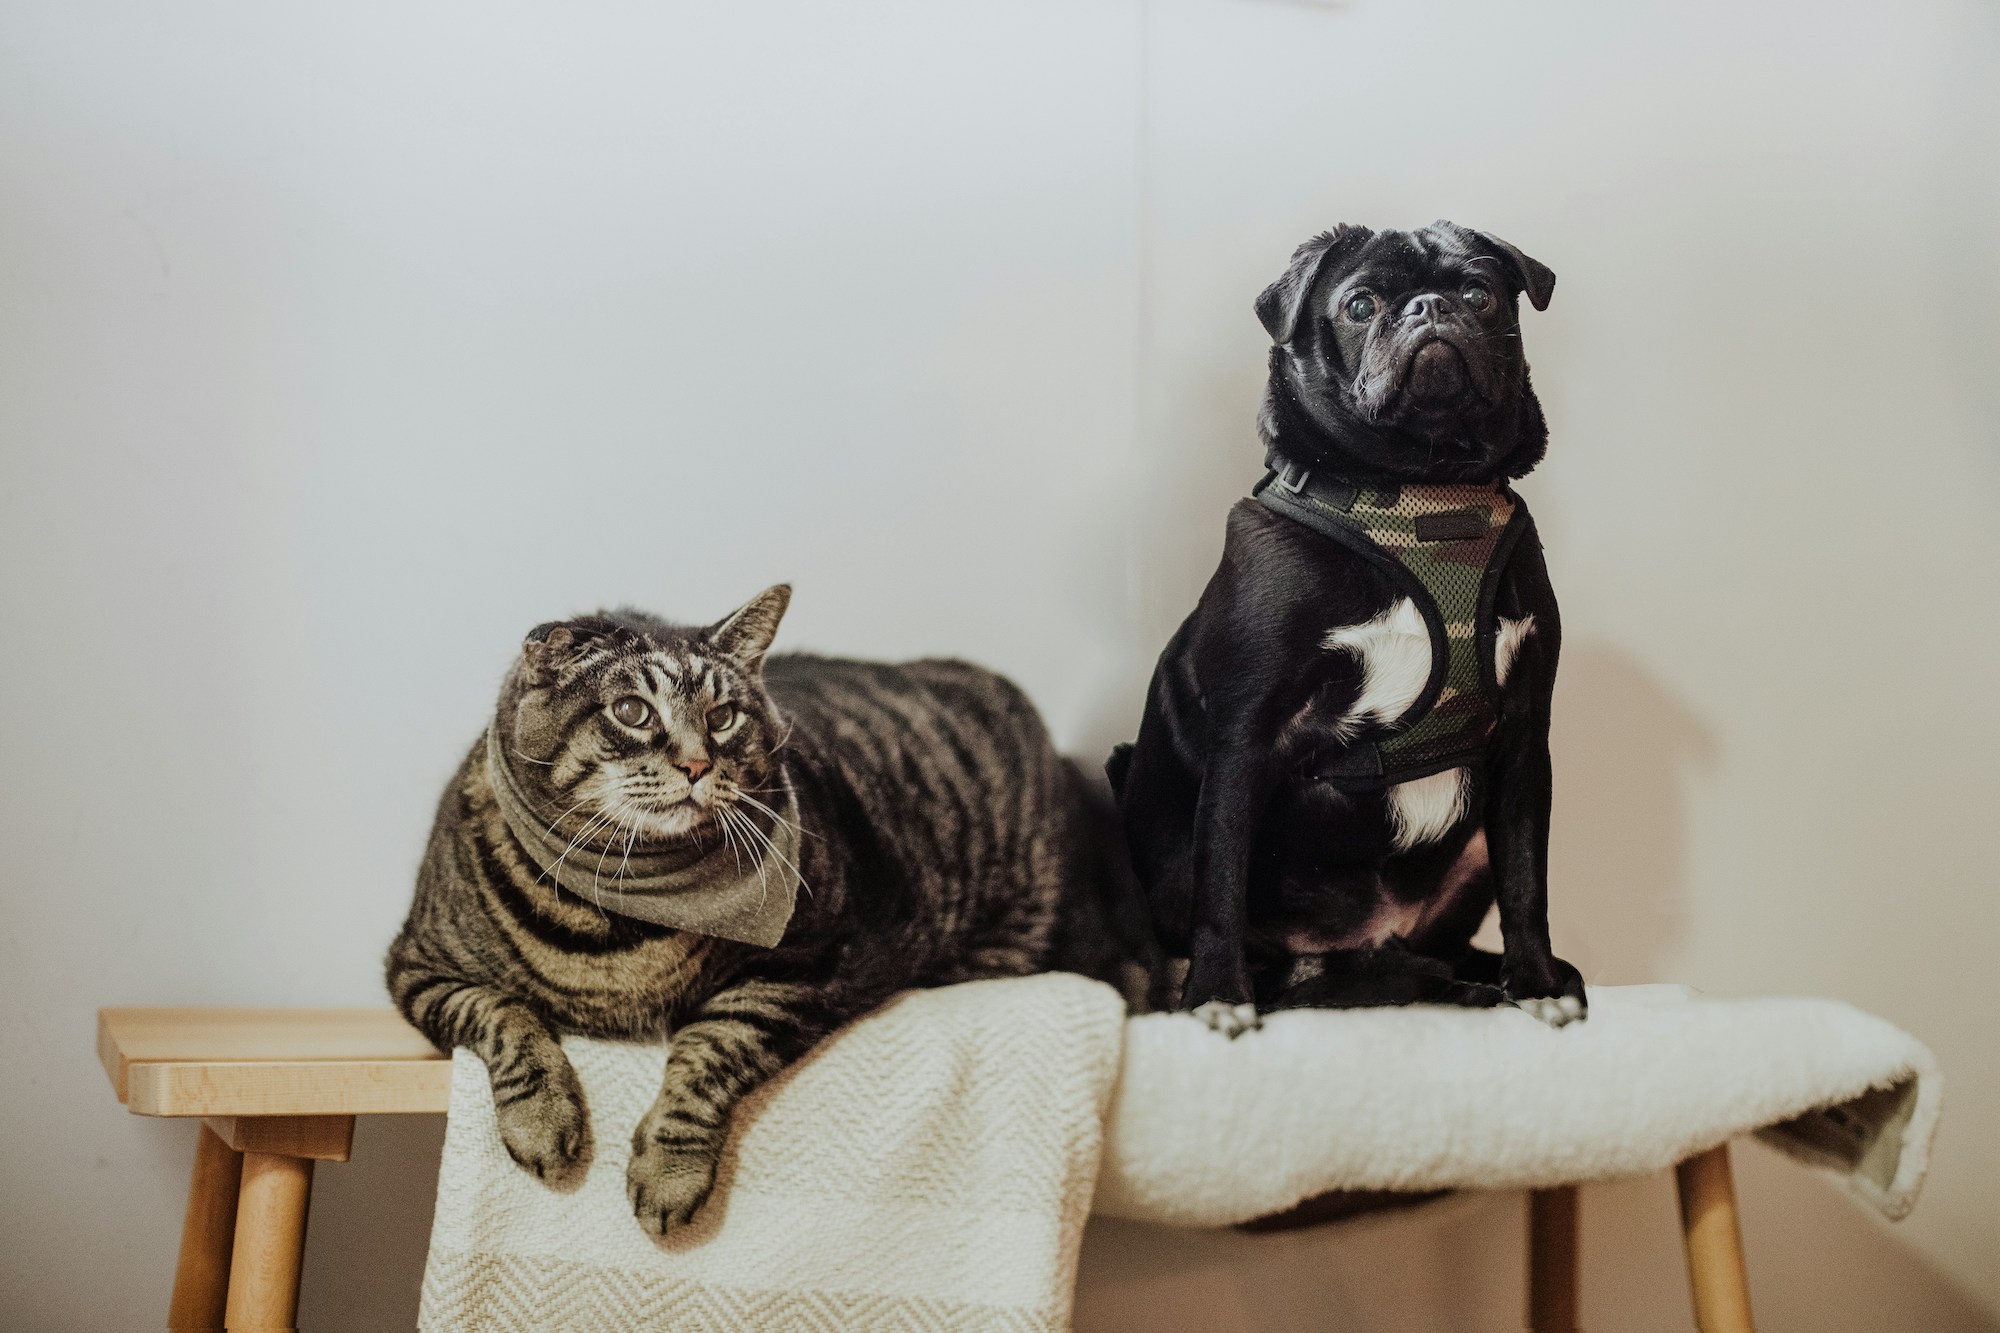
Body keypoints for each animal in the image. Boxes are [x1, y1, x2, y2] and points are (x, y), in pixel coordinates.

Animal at [386, 588, 1144, 1232]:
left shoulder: (809, 966)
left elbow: (711, 1048)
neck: (623, 912)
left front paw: (669, 1172)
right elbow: (504, 1016)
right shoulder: (419, 966)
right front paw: (543, 1122)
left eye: (724, 718)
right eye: (632, 711)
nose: (697, 764)